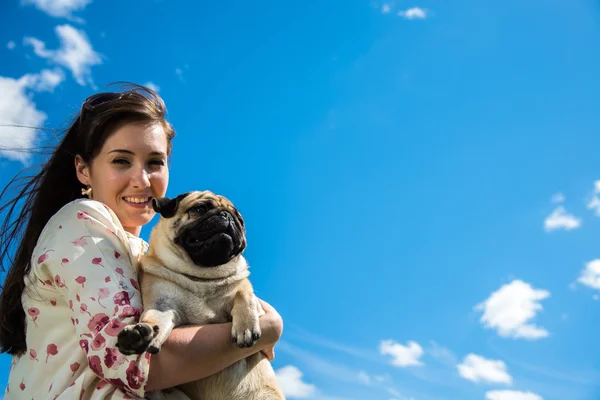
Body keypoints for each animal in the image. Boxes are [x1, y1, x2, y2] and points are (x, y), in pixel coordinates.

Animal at [118, 191, 288, 400]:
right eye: (200, 208)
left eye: (240, 221)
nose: (227, 216)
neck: (201, 277)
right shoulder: (162, 306)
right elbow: (153, 319)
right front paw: (140, 333)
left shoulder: (253, 301)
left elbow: (243, 293)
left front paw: (245, 327)